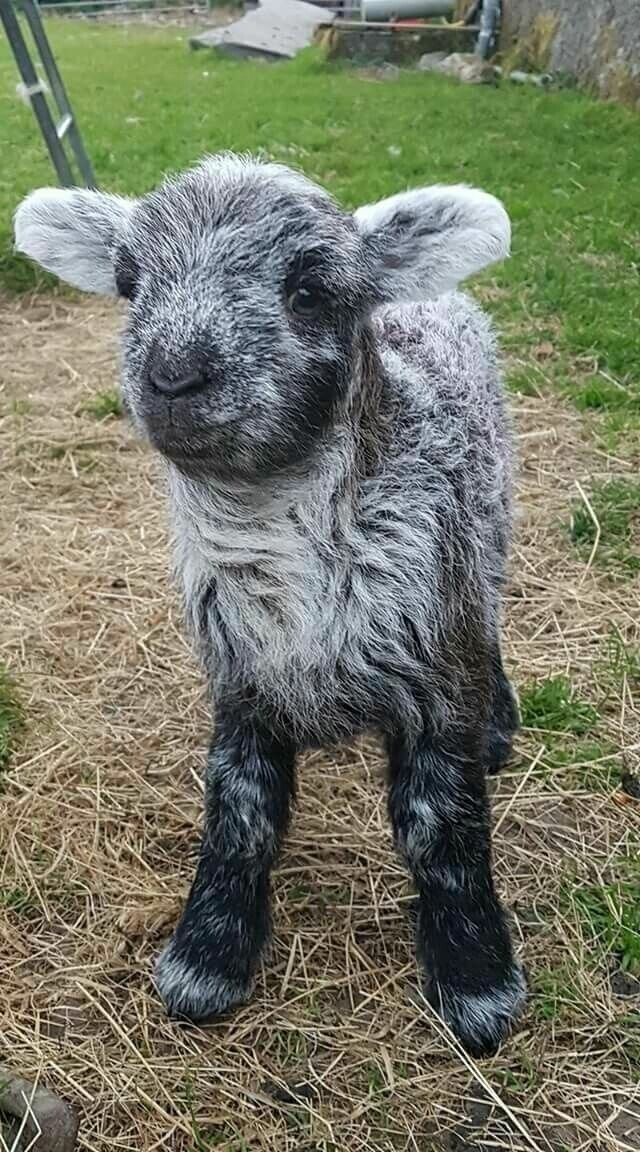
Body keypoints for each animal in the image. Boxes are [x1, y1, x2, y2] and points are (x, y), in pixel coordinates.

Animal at [13, 155, 524, 1059]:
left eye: (311, 291)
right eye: (128, 282)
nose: (173, 378)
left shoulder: (434, 662)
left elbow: (441, 827)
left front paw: (474, 978)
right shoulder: (241, 682)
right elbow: (240, 816)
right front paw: (207, 954)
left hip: (489, 523)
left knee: (491, 613)